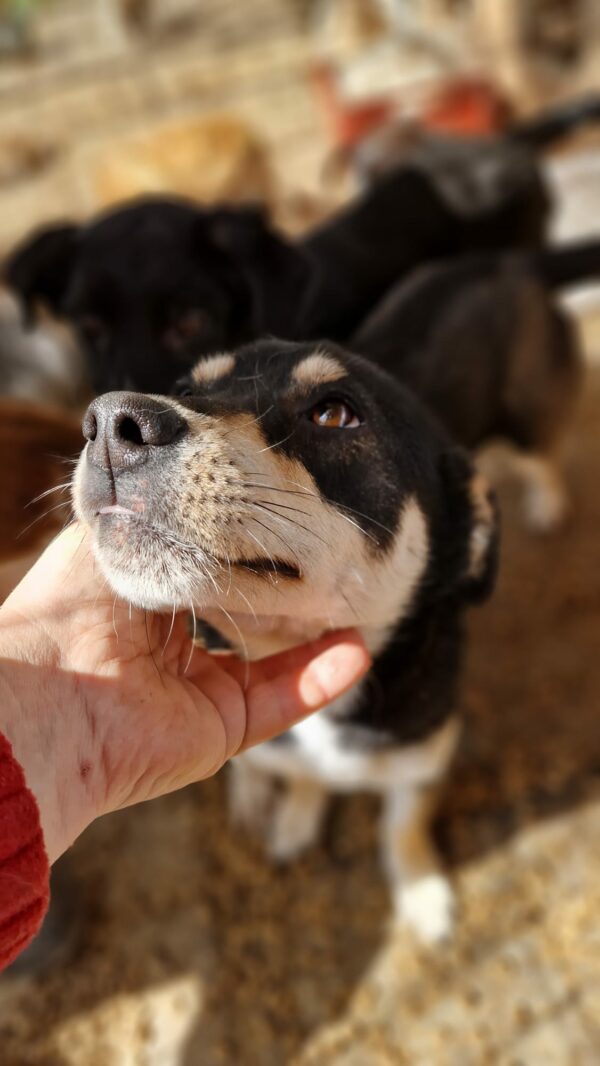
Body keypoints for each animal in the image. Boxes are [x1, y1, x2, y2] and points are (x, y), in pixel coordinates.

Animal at [73, 338, 500, 942]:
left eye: (334, 413)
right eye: (186, 387)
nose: (110, 421)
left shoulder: (424, 756)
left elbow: (401, 826)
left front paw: (420, 891)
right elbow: (298, 777)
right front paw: (295, 818)